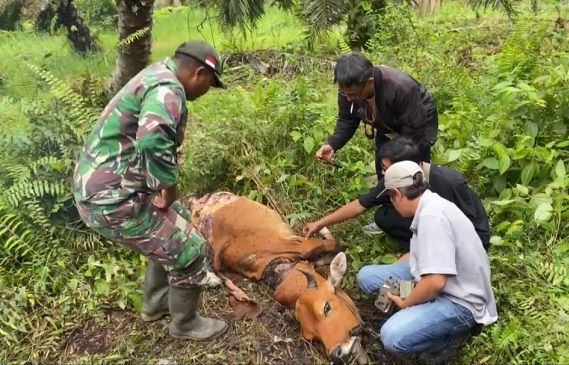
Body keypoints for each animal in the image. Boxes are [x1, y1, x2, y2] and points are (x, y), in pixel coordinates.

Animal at [189, 192, 368, 362]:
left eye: (326, 307)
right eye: (311, 336)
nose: (338, 355)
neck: (274, 266)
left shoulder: (301, 244)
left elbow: (335, 246)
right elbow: (337, 245)